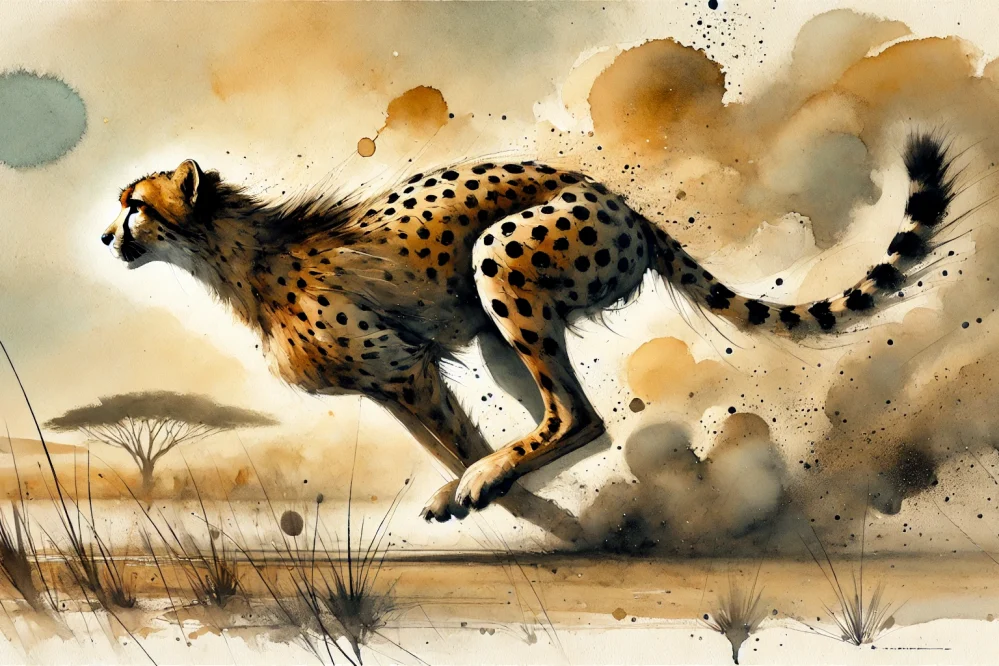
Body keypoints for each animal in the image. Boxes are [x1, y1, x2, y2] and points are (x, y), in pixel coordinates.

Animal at [101, 133, 954, 533]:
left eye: (136, 205)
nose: (107, 239)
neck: (236, 254)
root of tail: (619, 201)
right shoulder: (392, 380)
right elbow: (444, 440)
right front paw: (531, 513)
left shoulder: (401, 364)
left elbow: (453, 441)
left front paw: (495, 500)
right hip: (492, 328)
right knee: (579, 417)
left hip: (500, 256)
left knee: (573, 412)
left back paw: (490, 482)